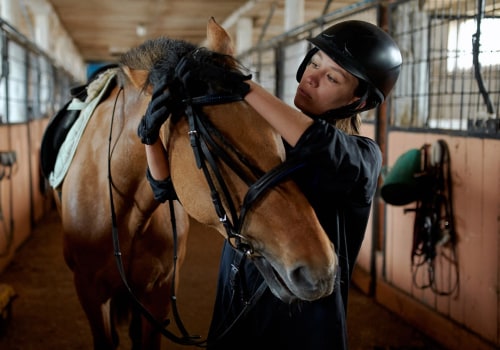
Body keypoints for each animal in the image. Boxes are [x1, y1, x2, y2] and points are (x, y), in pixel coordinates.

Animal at [43, 17, 338, 350]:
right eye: (212, 144)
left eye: (277, 130)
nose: (321, 268)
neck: (125, 210)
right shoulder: (91, 295)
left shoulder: (157, 294)